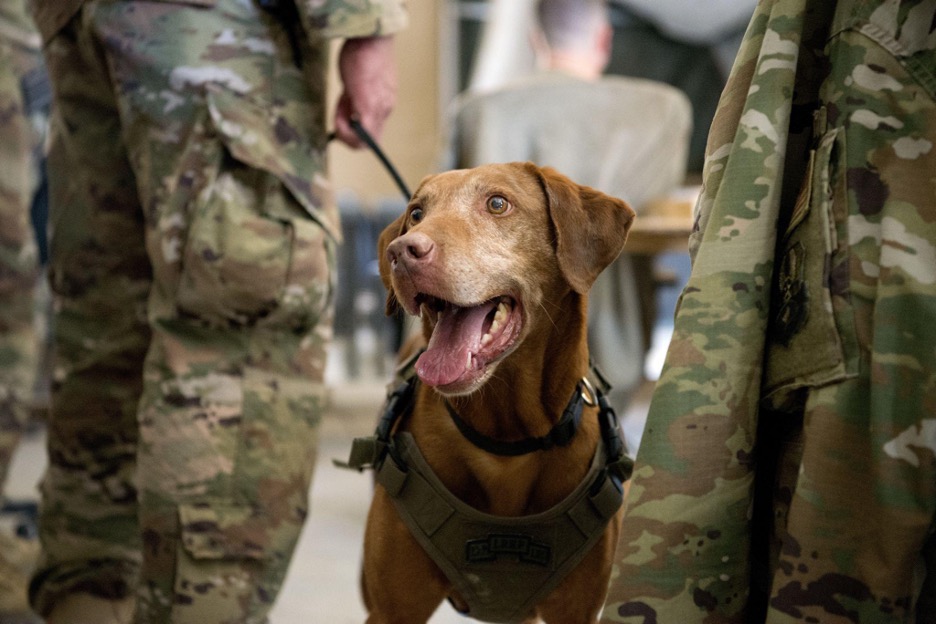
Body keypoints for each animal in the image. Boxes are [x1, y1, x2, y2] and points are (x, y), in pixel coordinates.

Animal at [352, 163, 636, 620]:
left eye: (498, 203)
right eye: (416, 213)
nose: (402, 252)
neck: (507, 439)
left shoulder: (577, 610)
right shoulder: (393, 610)